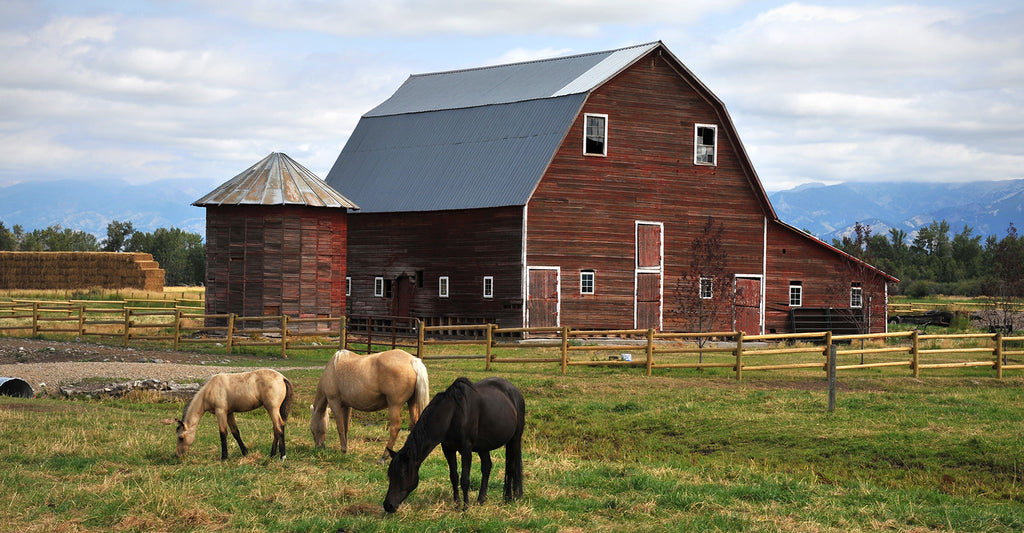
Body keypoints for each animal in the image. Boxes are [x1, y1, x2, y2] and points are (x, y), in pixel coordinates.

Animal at [385, 374, 528, 511]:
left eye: (401, 475)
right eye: (389, 474)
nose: (388, 505)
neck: (452, 414)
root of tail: (516, 392)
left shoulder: (466, 449)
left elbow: (465, 480)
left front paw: (466, 507)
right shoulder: (448, 449)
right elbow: (454, 476)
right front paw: (457, 504)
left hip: (515, 439)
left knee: (511, 467)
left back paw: (509, 497)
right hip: (483, 446)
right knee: (487, 467)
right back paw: (481, 499)